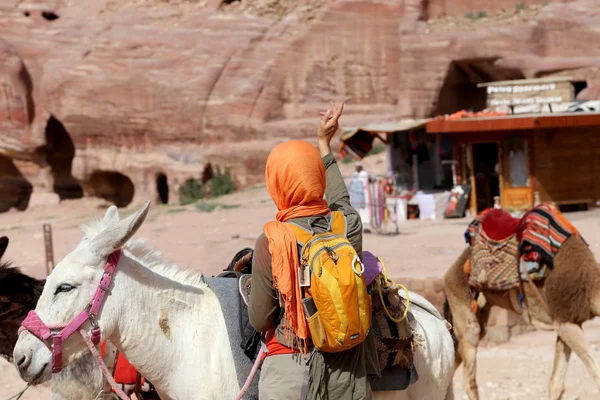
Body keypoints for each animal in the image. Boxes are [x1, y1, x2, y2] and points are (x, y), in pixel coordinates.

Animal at [442, 206, 600, 400]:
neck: (590, 284)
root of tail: (447, 275)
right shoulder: (565, 320)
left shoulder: (567, 321)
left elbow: (556, 384)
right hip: (465, 312)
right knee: (468, 378)